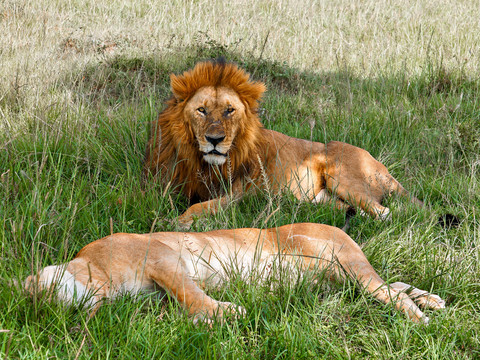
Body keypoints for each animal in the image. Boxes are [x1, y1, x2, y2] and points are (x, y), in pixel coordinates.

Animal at [144, 60, 422, 226]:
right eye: (201, 110)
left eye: (229, 110)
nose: (215, 140)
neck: (202, 163)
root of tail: (384, 169)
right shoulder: (164, 184)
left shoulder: (236, 195)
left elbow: (198, 208)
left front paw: (174, 224)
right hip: (320, 197)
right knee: (356, 210)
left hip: (343, 178)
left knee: (386, 213)